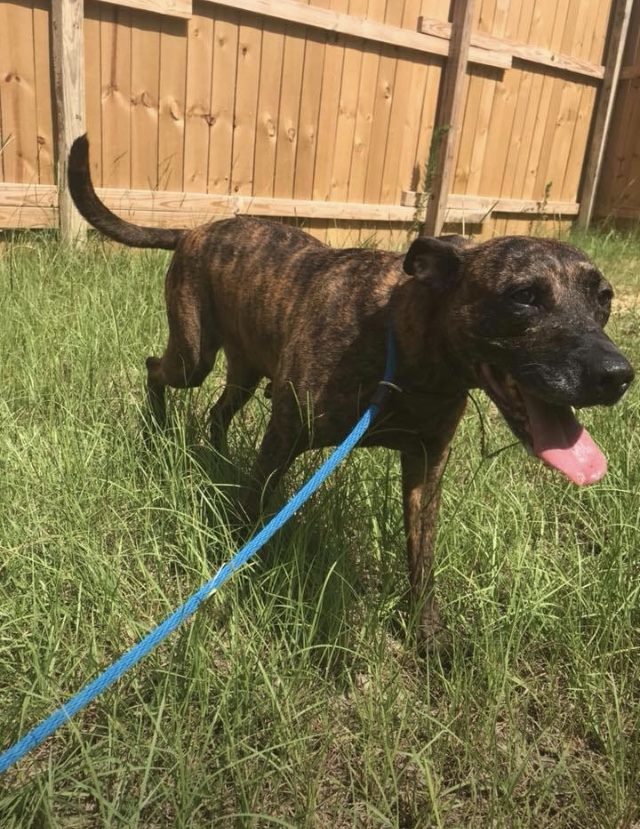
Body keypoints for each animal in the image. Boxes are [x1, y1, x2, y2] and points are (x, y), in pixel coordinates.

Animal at [69, 133, 636, 644]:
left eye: (604, 298)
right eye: (524, 296)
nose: (618, 376)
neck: (404, 350)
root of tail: (195, 230)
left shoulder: (426, 467)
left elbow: (421, 557)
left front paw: (429, 635)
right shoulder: (285, 434)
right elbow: (253, 512)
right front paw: (233, 566)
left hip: (245, 371)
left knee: (217, 413)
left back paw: (219, 455)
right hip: (194, 355)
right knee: (155, 369)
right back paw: (157, 429)